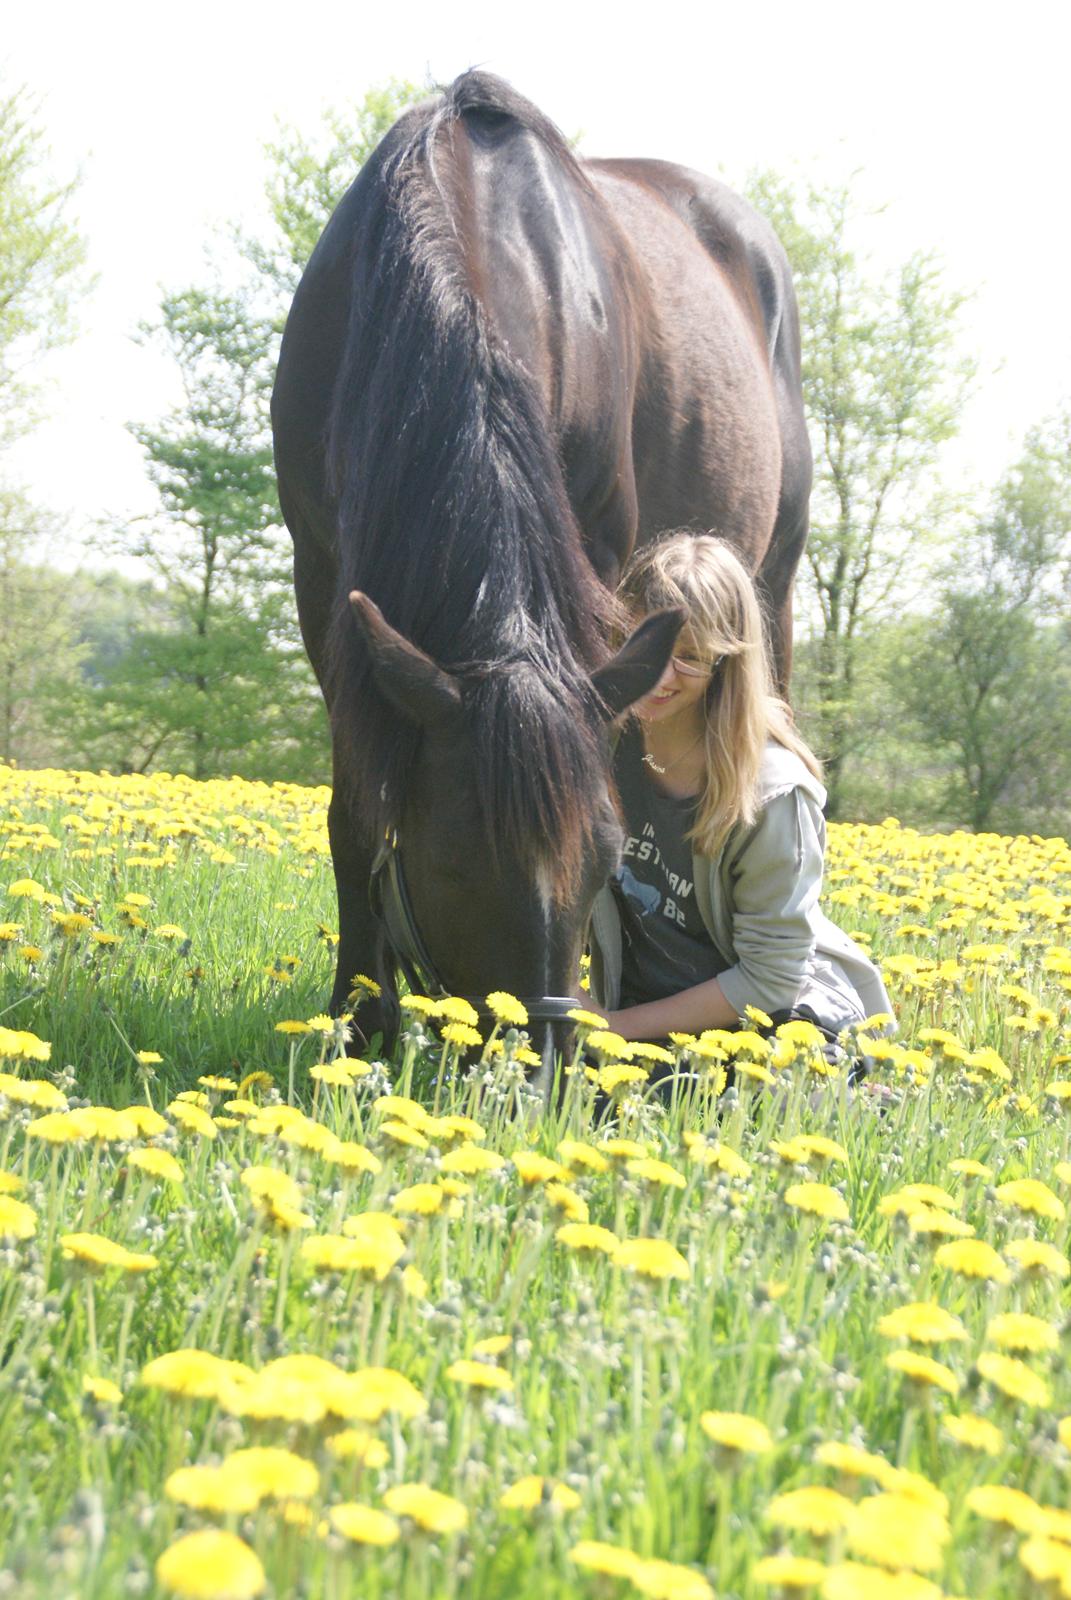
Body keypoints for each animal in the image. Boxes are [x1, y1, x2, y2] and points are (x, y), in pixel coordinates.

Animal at [272, 75, 806, 1075]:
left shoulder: (594, 572)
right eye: (449, 861)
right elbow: (356, 804)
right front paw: (358, 1021)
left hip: (776, 576)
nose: (541, 1064)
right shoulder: (321, 580)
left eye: (599, 859)